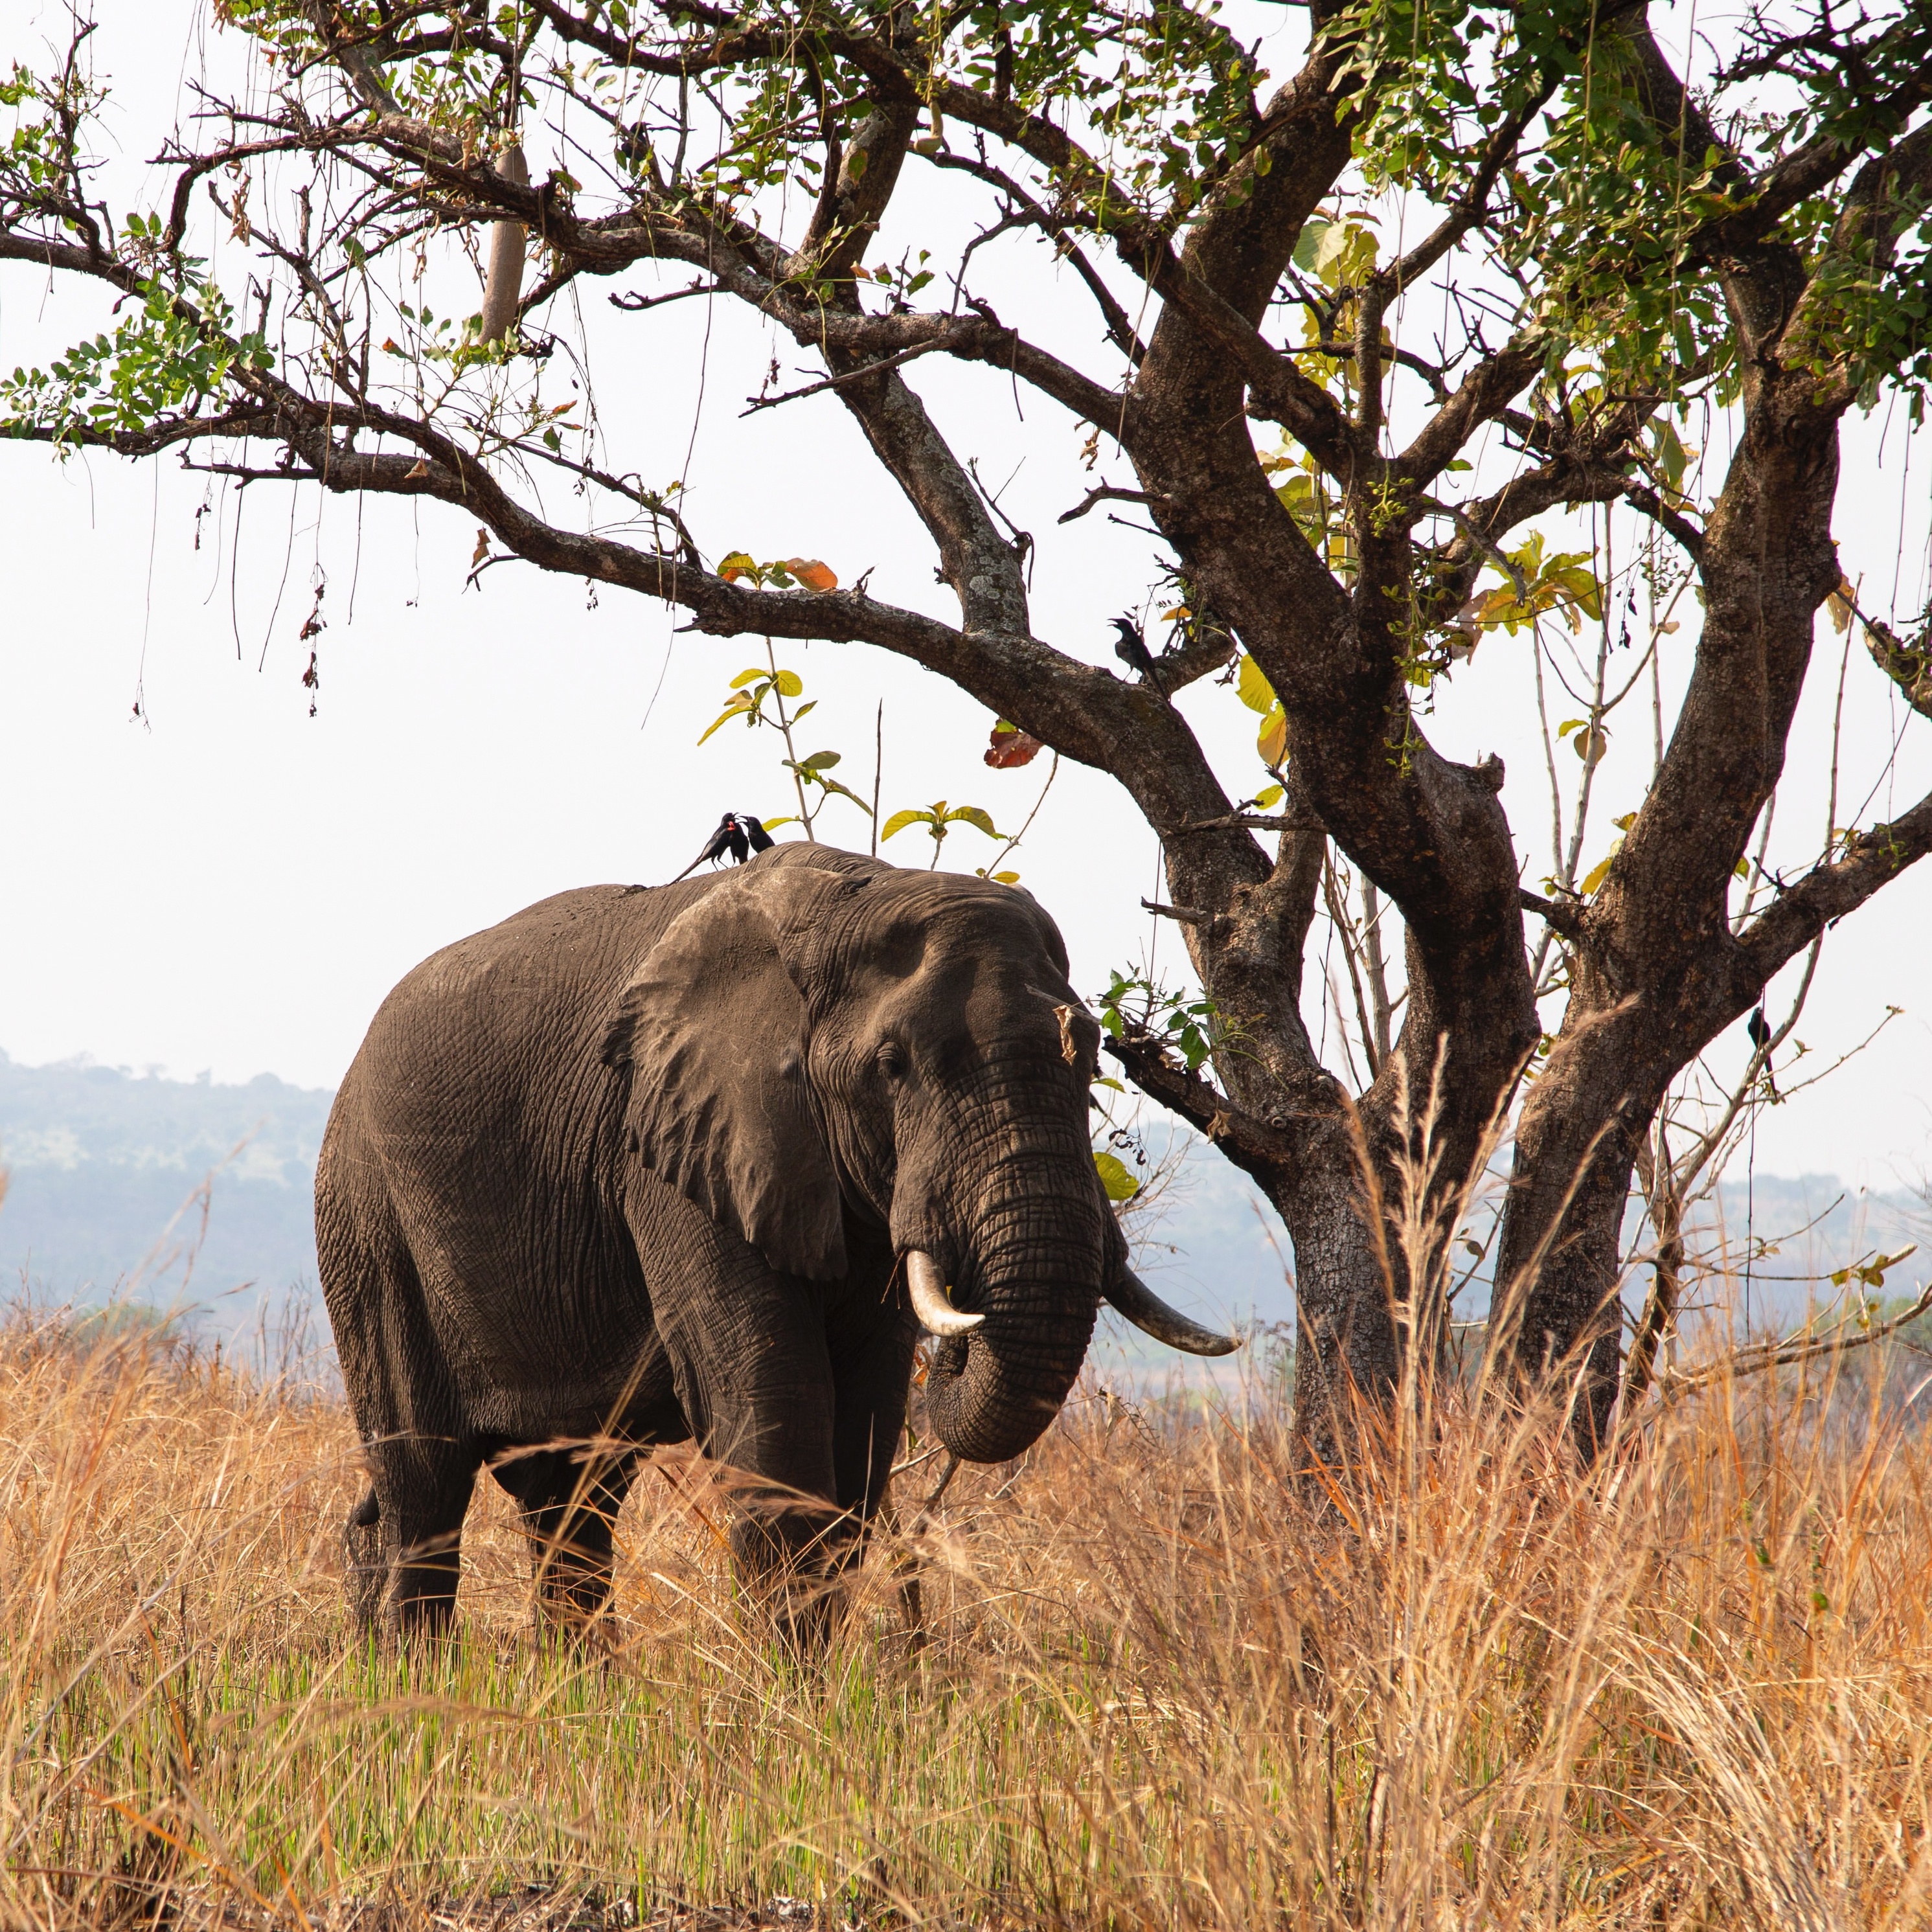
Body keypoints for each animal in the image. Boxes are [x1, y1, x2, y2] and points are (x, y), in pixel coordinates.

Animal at [316, 843, 1233, 1640]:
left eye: (1093, 1053)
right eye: (891, 1065)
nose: (966, 1332)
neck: (855, 892)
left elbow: (861, 1427)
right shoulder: (671, 1143)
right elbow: (769, 1405)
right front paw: (797, 1709)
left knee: (570, 1497)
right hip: (367, 1224)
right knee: (425, 1486)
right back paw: (418, 1678)